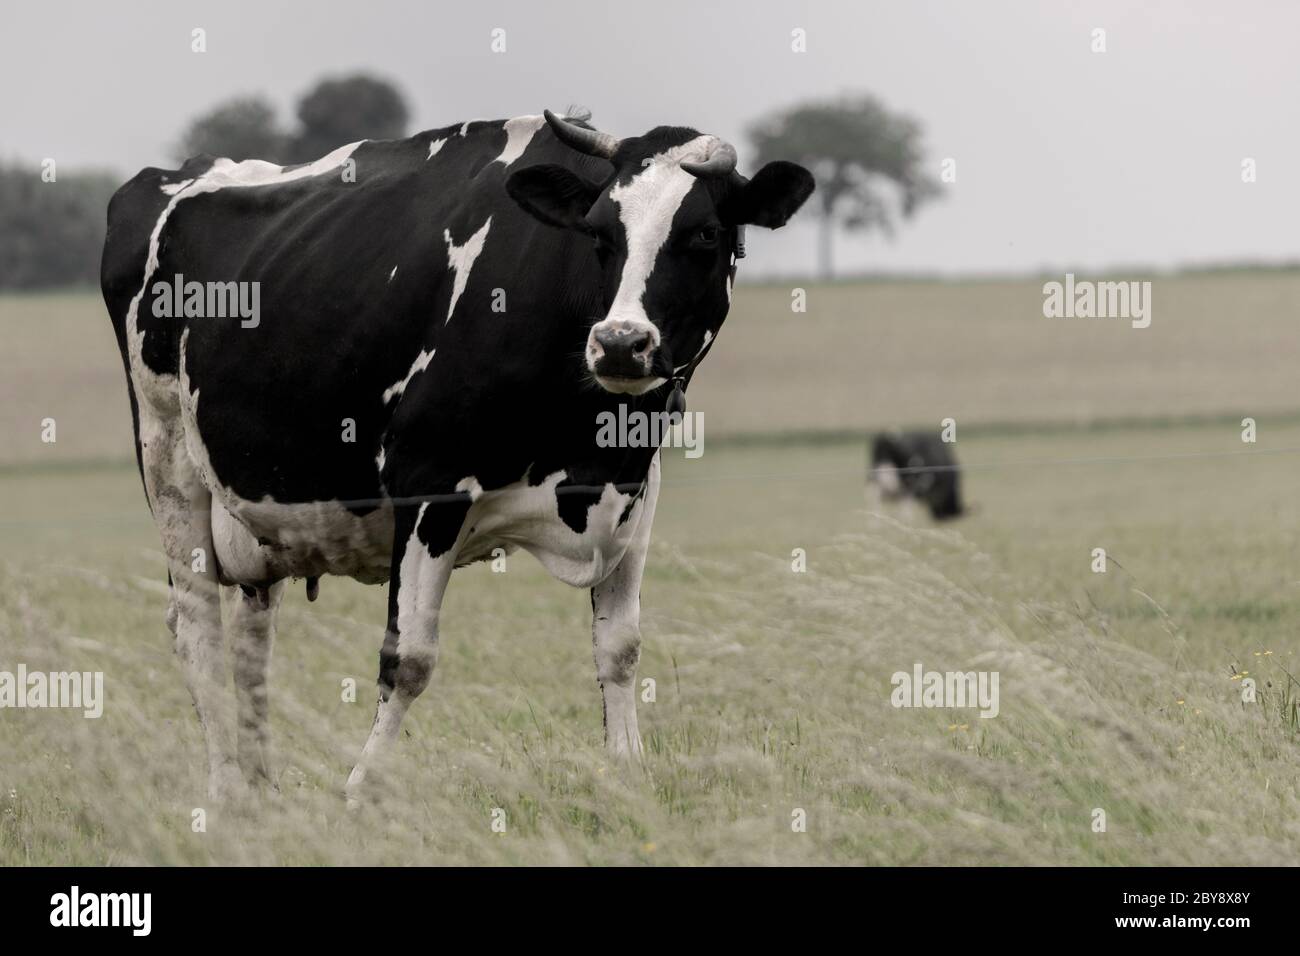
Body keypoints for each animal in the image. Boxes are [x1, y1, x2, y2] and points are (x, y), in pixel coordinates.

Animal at [100, 109, 814, 802]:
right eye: (599, 235)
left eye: (705, 235)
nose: (618, 343)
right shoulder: (428, 485)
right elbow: (408, 658)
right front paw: (362, 790)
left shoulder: (636, 494)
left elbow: (620, 646)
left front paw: (629, 774)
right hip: (169, 461)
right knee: (196, 627)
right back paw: (225, 790)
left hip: (257, 511)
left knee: (252, 642)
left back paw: (261, 789)